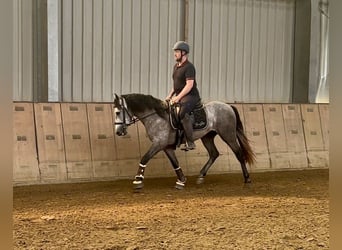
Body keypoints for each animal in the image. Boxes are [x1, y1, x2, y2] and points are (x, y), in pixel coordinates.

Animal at [113, 94, 255, 189]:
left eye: (118, 112)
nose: (118, 132)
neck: (156, 117)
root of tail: (228, 106)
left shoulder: (158, 144)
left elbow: (144, 158)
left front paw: (138, 180)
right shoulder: (166, 147)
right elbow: (175, 163)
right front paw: (181, 181)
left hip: (228, 135)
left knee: (238, 153)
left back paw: (247, 178)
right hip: (207, 137)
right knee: (214, 154)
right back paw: (201, 176)